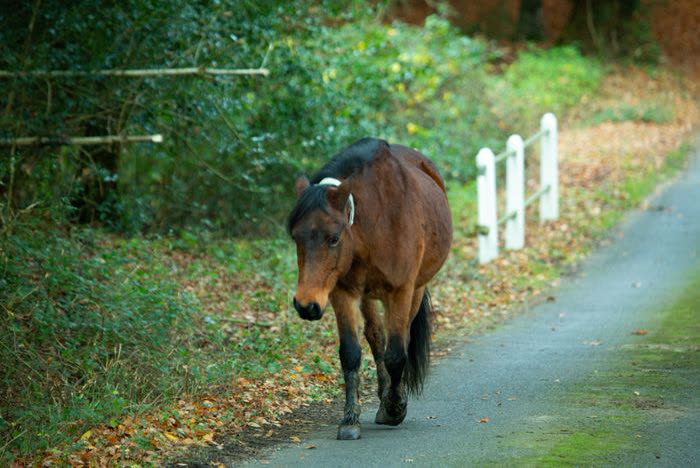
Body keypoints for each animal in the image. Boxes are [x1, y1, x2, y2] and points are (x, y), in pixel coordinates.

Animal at [287, 137, 453, 440]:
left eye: (333, 238)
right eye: (296, 237)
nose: (306, 305)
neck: (376, 224)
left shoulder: (400, 292)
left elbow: (397, 355)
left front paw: (394, 408)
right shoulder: (342, 293)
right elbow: (351, 353)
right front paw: (350, 419)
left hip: (415, 290)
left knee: (401, 338)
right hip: (366, 295)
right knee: (376, 336)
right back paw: (383, 390)